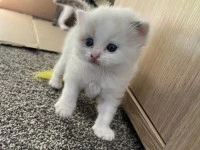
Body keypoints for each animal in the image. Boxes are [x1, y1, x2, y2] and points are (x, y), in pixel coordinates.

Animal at [49, 6, 149, 141]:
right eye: (89, 42)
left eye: (112, 47)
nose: (94, 55)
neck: (99, 72)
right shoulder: (74, 76)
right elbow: (69, 93)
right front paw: (64, 108)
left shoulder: (112, 94)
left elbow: (107, 113)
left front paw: (103, 130)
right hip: (66, 56)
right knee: (59, 68)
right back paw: (55, 82)